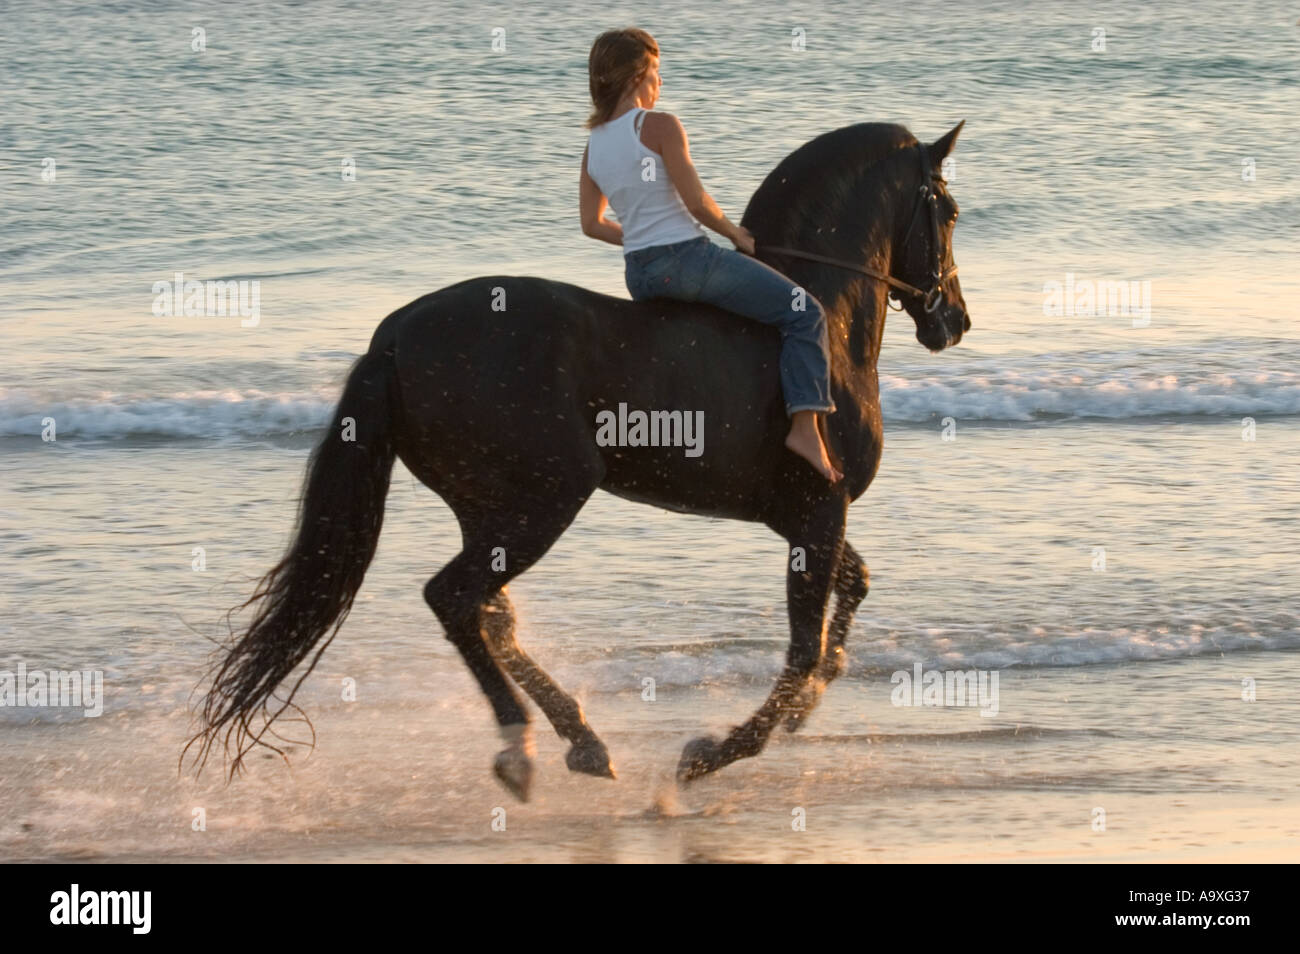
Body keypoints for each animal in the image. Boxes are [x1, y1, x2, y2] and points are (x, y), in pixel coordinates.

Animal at [186, 120, 970, 801]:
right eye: (951, 211)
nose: (954, 321)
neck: (826, 318)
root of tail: (394, 338)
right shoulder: (818, 509)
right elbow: (804, 646)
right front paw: (708, 756)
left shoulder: (797, 516)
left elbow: (852, 589)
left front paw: (810, 700)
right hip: (548, 498)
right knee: (456, 599)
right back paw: (522, 748)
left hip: (490, 505)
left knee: (489, 615)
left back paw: (581, 741)